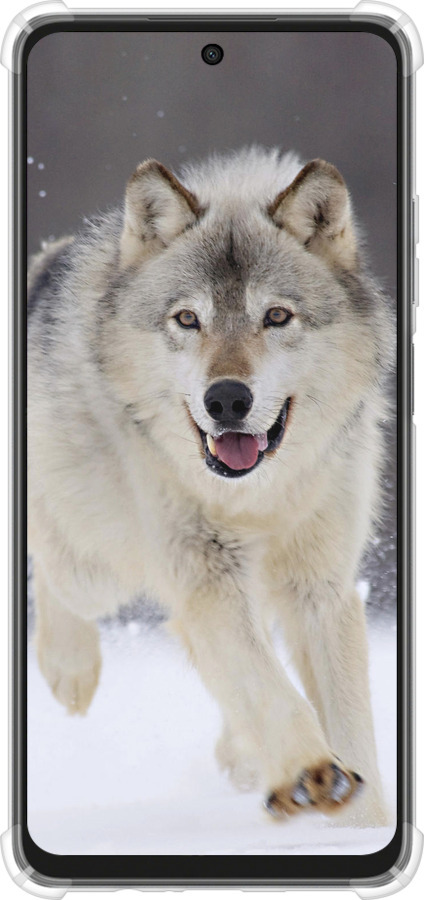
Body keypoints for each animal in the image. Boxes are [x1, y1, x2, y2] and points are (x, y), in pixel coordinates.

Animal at [28, 147, 393, 825]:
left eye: (275, 316)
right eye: (187, 319)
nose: (225, 399)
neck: (256, 498)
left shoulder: (320, 586)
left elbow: (350, 724)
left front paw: (365, 824)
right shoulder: (205, 572)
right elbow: (268, 685)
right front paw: (310, 772)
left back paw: (243, 756)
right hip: (100, 568)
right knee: (56, 573)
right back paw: (70, 669)